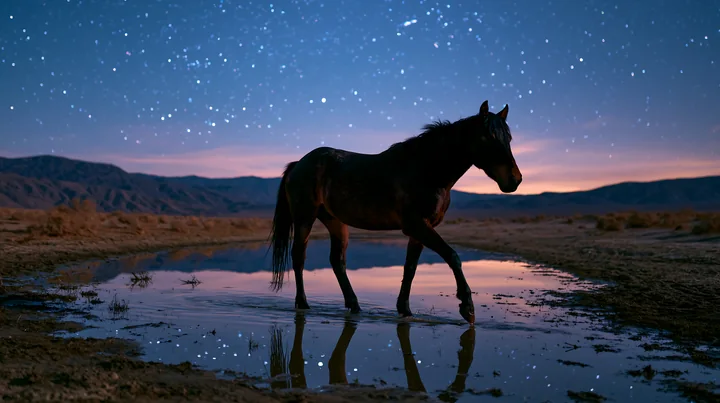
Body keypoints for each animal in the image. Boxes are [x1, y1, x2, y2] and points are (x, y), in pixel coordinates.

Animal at [268, 100, 522, 324]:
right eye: (488, 137)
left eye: (509, 138)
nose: (515, 180)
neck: (427, 170)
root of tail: (298, 164)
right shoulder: (417, 225)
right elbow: (453, 257)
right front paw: (467, 307)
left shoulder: (420, 230)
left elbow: (410, 268)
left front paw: (404, 310)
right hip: (305, 219)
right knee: (299, 257)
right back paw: (303, 304)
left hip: (336, 222)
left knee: (337, 261)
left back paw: (354, 306)